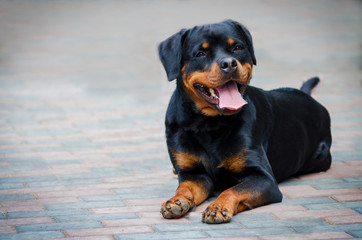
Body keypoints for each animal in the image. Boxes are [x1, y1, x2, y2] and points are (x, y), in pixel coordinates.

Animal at [158, 19, 330, 224]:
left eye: (238, 48)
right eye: (200, 53)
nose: (229, 63)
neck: (209, 124)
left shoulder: (263, 178)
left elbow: (232, 189)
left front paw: (218, 206)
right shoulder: (193, 174)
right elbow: (184, 187)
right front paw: (176, 201)